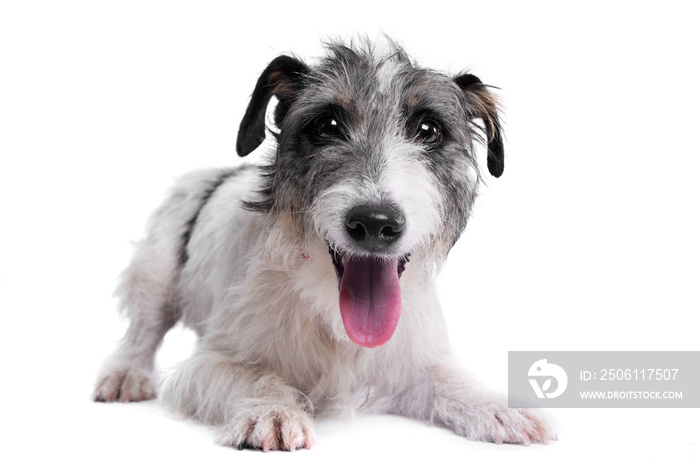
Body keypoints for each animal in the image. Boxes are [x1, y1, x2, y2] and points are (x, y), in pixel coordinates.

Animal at [95, 37, 556, 452]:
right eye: (327, 126)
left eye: (429, 129)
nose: (375, 223)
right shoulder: (210, 363)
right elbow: (253, 376)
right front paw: (273, 410)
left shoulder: (412, 364)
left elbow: (448, 380)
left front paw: (498, 406)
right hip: (153, 273)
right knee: (142, 331)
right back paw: (126, 374)